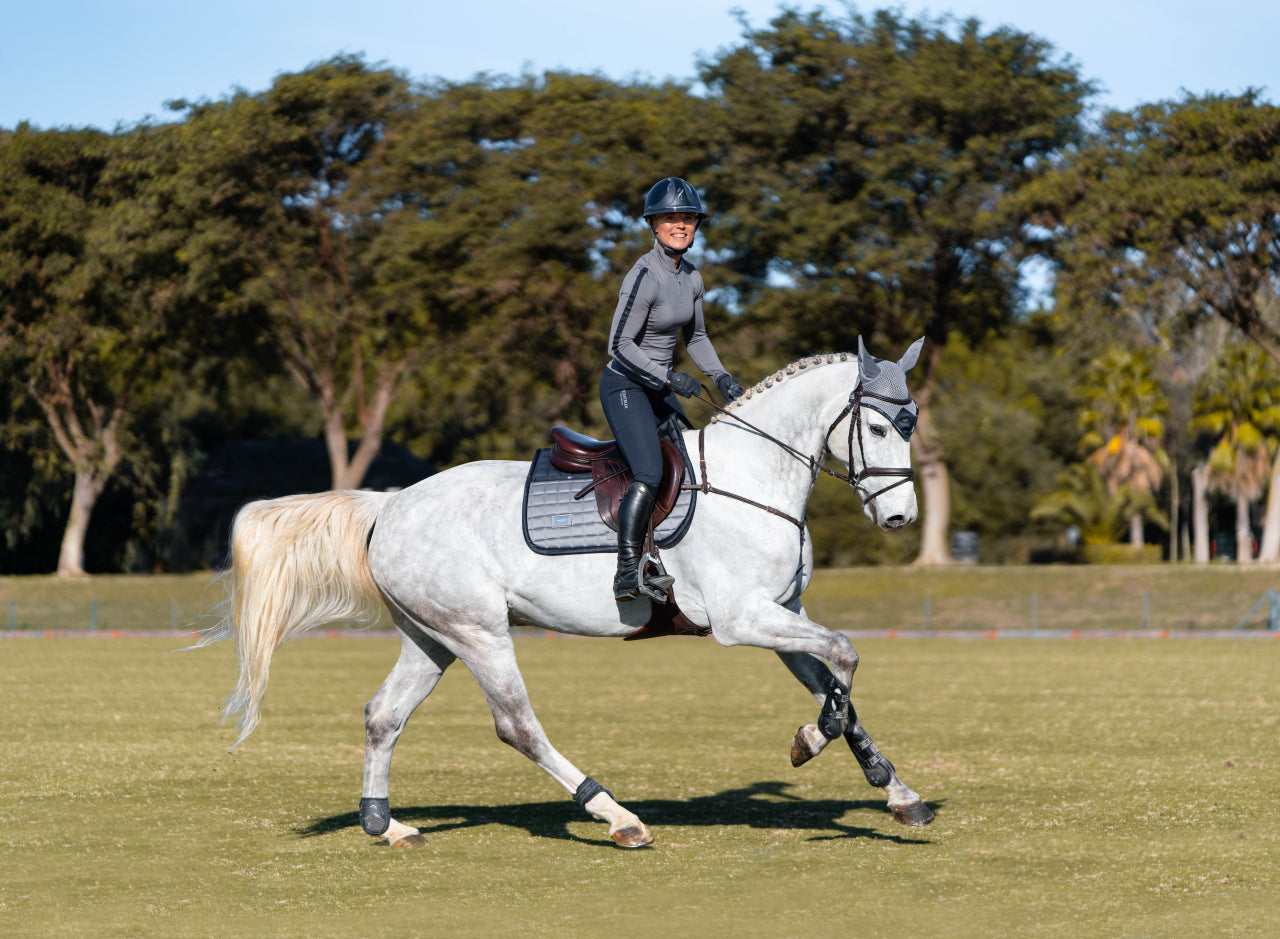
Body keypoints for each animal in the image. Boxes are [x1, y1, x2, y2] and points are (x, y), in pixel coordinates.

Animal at [204, 340, 936, 854]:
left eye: (910, 424)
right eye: (877, 429)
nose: (900, 517)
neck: (752, 479)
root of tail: (391, 504)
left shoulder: (783, 615)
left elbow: (837, 681)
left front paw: (897, 791)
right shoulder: (743, 619)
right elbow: (846, 657)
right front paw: (811, 740)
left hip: (431, 637)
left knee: (383, 716)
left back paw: (387, 824)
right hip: (480, 633)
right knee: (517, 726)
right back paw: (617, 816)